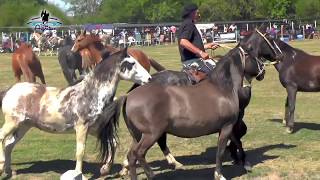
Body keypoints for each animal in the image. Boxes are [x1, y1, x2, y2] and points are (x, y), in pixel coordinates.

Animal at [0, 47, 152, 176]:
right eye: (131, 63)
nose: (149, 79)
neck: (90, 94)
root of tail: (9, 90)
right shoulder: (81, 127)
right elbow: (80, 151)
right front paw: (78, 173)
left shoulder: (95, 128)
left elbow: (112, 143)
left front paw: (106, 169)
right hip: (13, 123)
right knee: (2, 137)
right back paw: (2, 168)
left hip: (24, 126)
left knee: (9, 145)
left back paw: (10, 172)